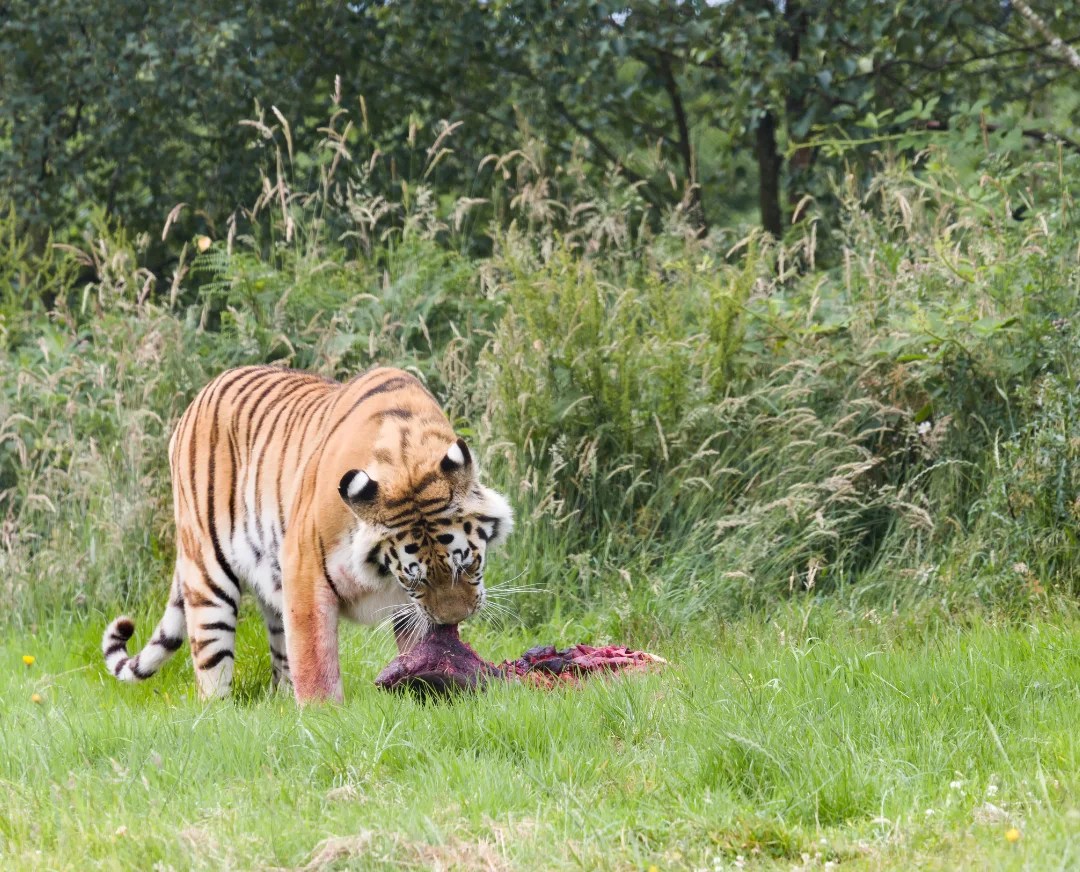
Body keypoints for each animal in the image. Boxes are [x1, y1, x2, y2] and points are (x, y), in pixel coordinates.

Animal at [101, 365, 514, 703]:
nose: (452, 620)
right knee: (212, 665)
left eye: (467, 565)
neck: (405, 457)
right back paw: (219, 714)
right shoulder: (305, 569)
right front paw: (323, 717)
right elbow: (314, 659)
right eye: (417, 579)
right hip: (208, 572)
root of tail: (200, 396)